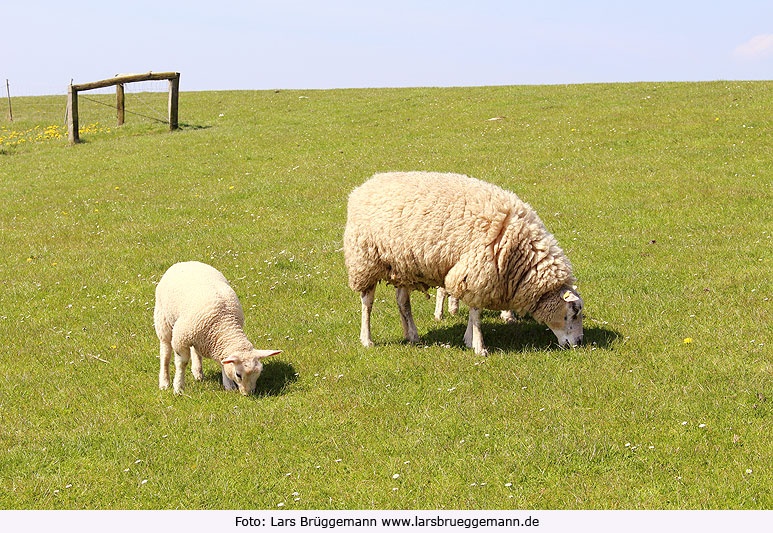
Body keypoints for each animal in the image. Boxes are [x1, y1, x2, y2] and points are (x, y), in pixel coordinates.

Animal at [153, 260, 280, 392]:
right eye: (238, 374)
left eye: (259, 373)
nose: (248, 393)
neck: (223, 322)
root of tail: (185, 262)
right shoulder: (180, 340)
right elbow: (181, 364)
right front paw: (178, 387)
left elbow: (223, 362)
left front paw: (228, 385)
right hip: (162, 320)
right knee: (165, 352)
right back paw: (164, 382)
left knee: (195, 351)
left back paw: (198, 372)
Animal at [340, 170, 584, 356]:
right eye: (573, 312)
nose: (580, 343)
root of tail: (363, 186)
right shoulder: (478, 270)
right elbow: (476, 312)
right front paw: (479, 346)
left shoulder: (475, 274)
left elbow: (472, 309)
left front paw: (468, 338)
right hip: (365, 261)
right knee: (367, 303)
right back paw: (367, 339)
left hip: (402, 265)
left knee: (402, 302)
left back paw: (412, 334)